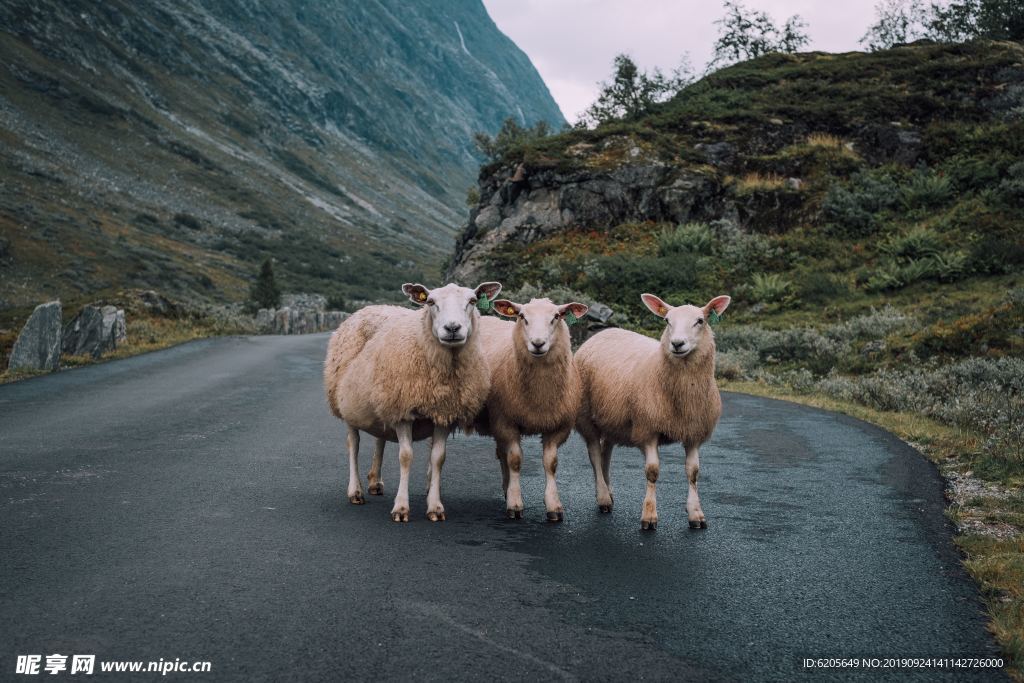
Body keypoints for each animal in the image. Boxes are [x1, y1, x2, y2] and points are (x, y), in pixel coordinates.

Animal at [319, 280, 499, 520]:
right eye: (431, 302)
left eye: (472, 301)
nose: (452, 328)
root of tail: (370, 308)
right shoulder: (404, 412)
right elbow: (405, 457)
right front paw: (401, 508)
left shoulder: (443, 413)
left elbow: (438, 458)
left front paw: (435, 507)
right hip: (347, 404)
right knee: (353, 444)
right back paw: (355, 491)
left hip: (383, 400)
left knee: (380, 438)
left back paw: (375, 481)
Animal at [468, 296, 585, 520]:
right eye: (522, 316)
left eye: (556, 316)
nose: (538, 344)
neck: (540, 395)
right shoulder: (506, 422)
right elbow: (515, 460)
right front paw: (515, 505)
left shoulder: (558, 426)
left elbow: (551, 463)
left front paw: (554, 505)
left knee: (501, 454)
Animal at [581, 290, 733, 532]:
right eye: (667, 320)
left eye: (700, 321)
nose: (677, 343)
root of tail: (604, 332)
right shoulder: (648, 429)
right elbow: (652, 472)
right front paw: (649, 516)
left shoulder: (693, 433)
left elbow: (693, 473)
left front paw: (696, 514)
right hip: (587, 418)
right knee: (595, 454)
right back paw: (603, 497)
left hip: (614, 420)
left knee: (606, 453)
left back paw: (608, 491)